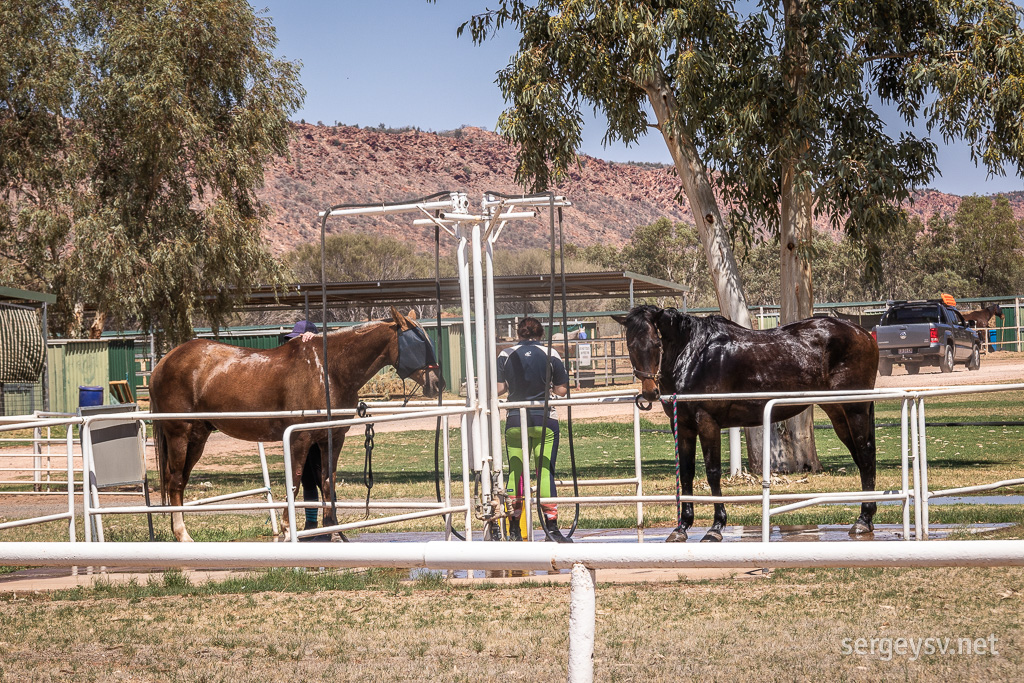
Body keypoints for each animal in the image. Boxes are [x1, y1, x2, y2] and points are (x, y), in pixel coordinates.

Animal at [149, 307, 444, 540]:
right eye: (418, 344)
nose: (437, 384)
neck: (329, 370)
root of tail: (163, 363)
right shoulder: (299, 438)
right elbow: (296, 481)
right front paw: (288, 528)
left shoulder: (331, 438)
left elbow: (327, 482)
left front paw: (332, 531)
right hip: (179, 434)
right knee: (175, 481)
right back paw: (183, 535)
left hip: (198, 437)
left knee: (181, 480)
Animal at [614, 307, 880, 540]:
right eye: (631, 346)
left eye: (657, 344)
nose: (650, 393)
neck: (694, 354)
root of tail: (864, 333)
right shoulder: (683, 426)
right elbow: (687, 473)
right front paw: (682, 527)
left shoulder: (707, 423)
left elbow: (712, 473)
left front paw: (716, 527)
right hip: (837, 411)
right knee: (861, 457)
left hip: (854, 409)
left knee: (865, 455)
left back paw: (863, 520)